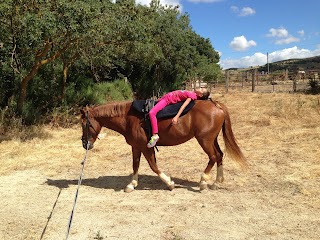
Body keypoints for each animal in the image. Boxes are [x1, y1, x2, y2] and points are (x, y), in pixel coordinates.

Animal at [79, 99, 245, 193]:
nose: (85, 144)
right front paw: (132, 185)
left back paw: (203, 182)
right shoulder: (136, 147)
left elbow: (153, 166)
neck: (128, 118)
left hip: (204, 140)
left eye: (84, 124)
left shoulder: (146, 147)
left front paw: (170, 183)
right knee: (220, 156)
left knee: (213, 157)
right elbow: (135, 165)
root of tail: (217, 105)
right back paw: (216, 182)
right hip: (212, 139)